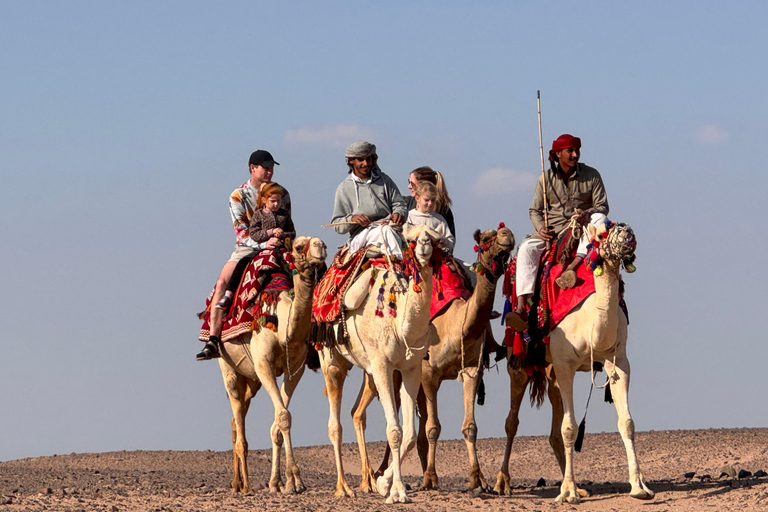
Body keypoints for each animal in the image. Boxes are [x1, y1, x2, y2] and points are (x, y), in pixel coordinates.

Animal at [217, 236, 327, 495]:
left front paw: (279, 482)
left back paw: (237, 482)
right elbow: (284, 416)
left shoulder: (294, 368)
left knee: (237, 416)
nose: (321, 247)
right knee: (235, 404)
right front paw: (294, 479)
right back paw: (245, 485)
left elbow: (278, 421)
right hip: (228, 366)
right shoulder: (263, 365)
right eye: (299, 246)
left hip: (251, 380)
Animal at [318, 225, 438, 504]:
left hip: (368, 371)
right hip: (331, 358)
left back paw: (368, 482)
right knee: (334, 423)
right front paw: (397, 492)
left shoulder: (410, 368)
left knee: (356, 412)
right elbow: (394, 431)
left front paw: (384, 483)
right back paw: (343, 487)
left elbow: (409, 434)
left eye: (433, 236)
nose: (425, 245)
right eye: (412, 238)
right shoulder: (383, 365)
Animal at [350, 224, 515, 493]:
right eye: (485, 239)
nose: (506, 234)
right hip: (380, 370)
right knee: (363, 411)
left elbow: (469, 427)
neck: (455, 324)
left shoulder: (471, 369)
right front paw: (429, 478)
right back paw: (373, 477)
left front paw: (477, 480)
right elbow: (432, 428)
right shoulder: (429, 373)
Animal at [494, 221, 653, 504]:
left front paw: (639, 487)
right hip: (519, 357)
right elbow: (569, 428)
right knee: (512, 421)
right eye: (602, 233)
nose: (626, 231)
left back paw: (576, 486)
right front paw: (567, 493)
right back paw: (503, 483)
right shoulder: (565, 363)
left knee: (553, 424)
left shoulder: (618, 362)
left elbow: (627, 422)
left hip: (551, 369)